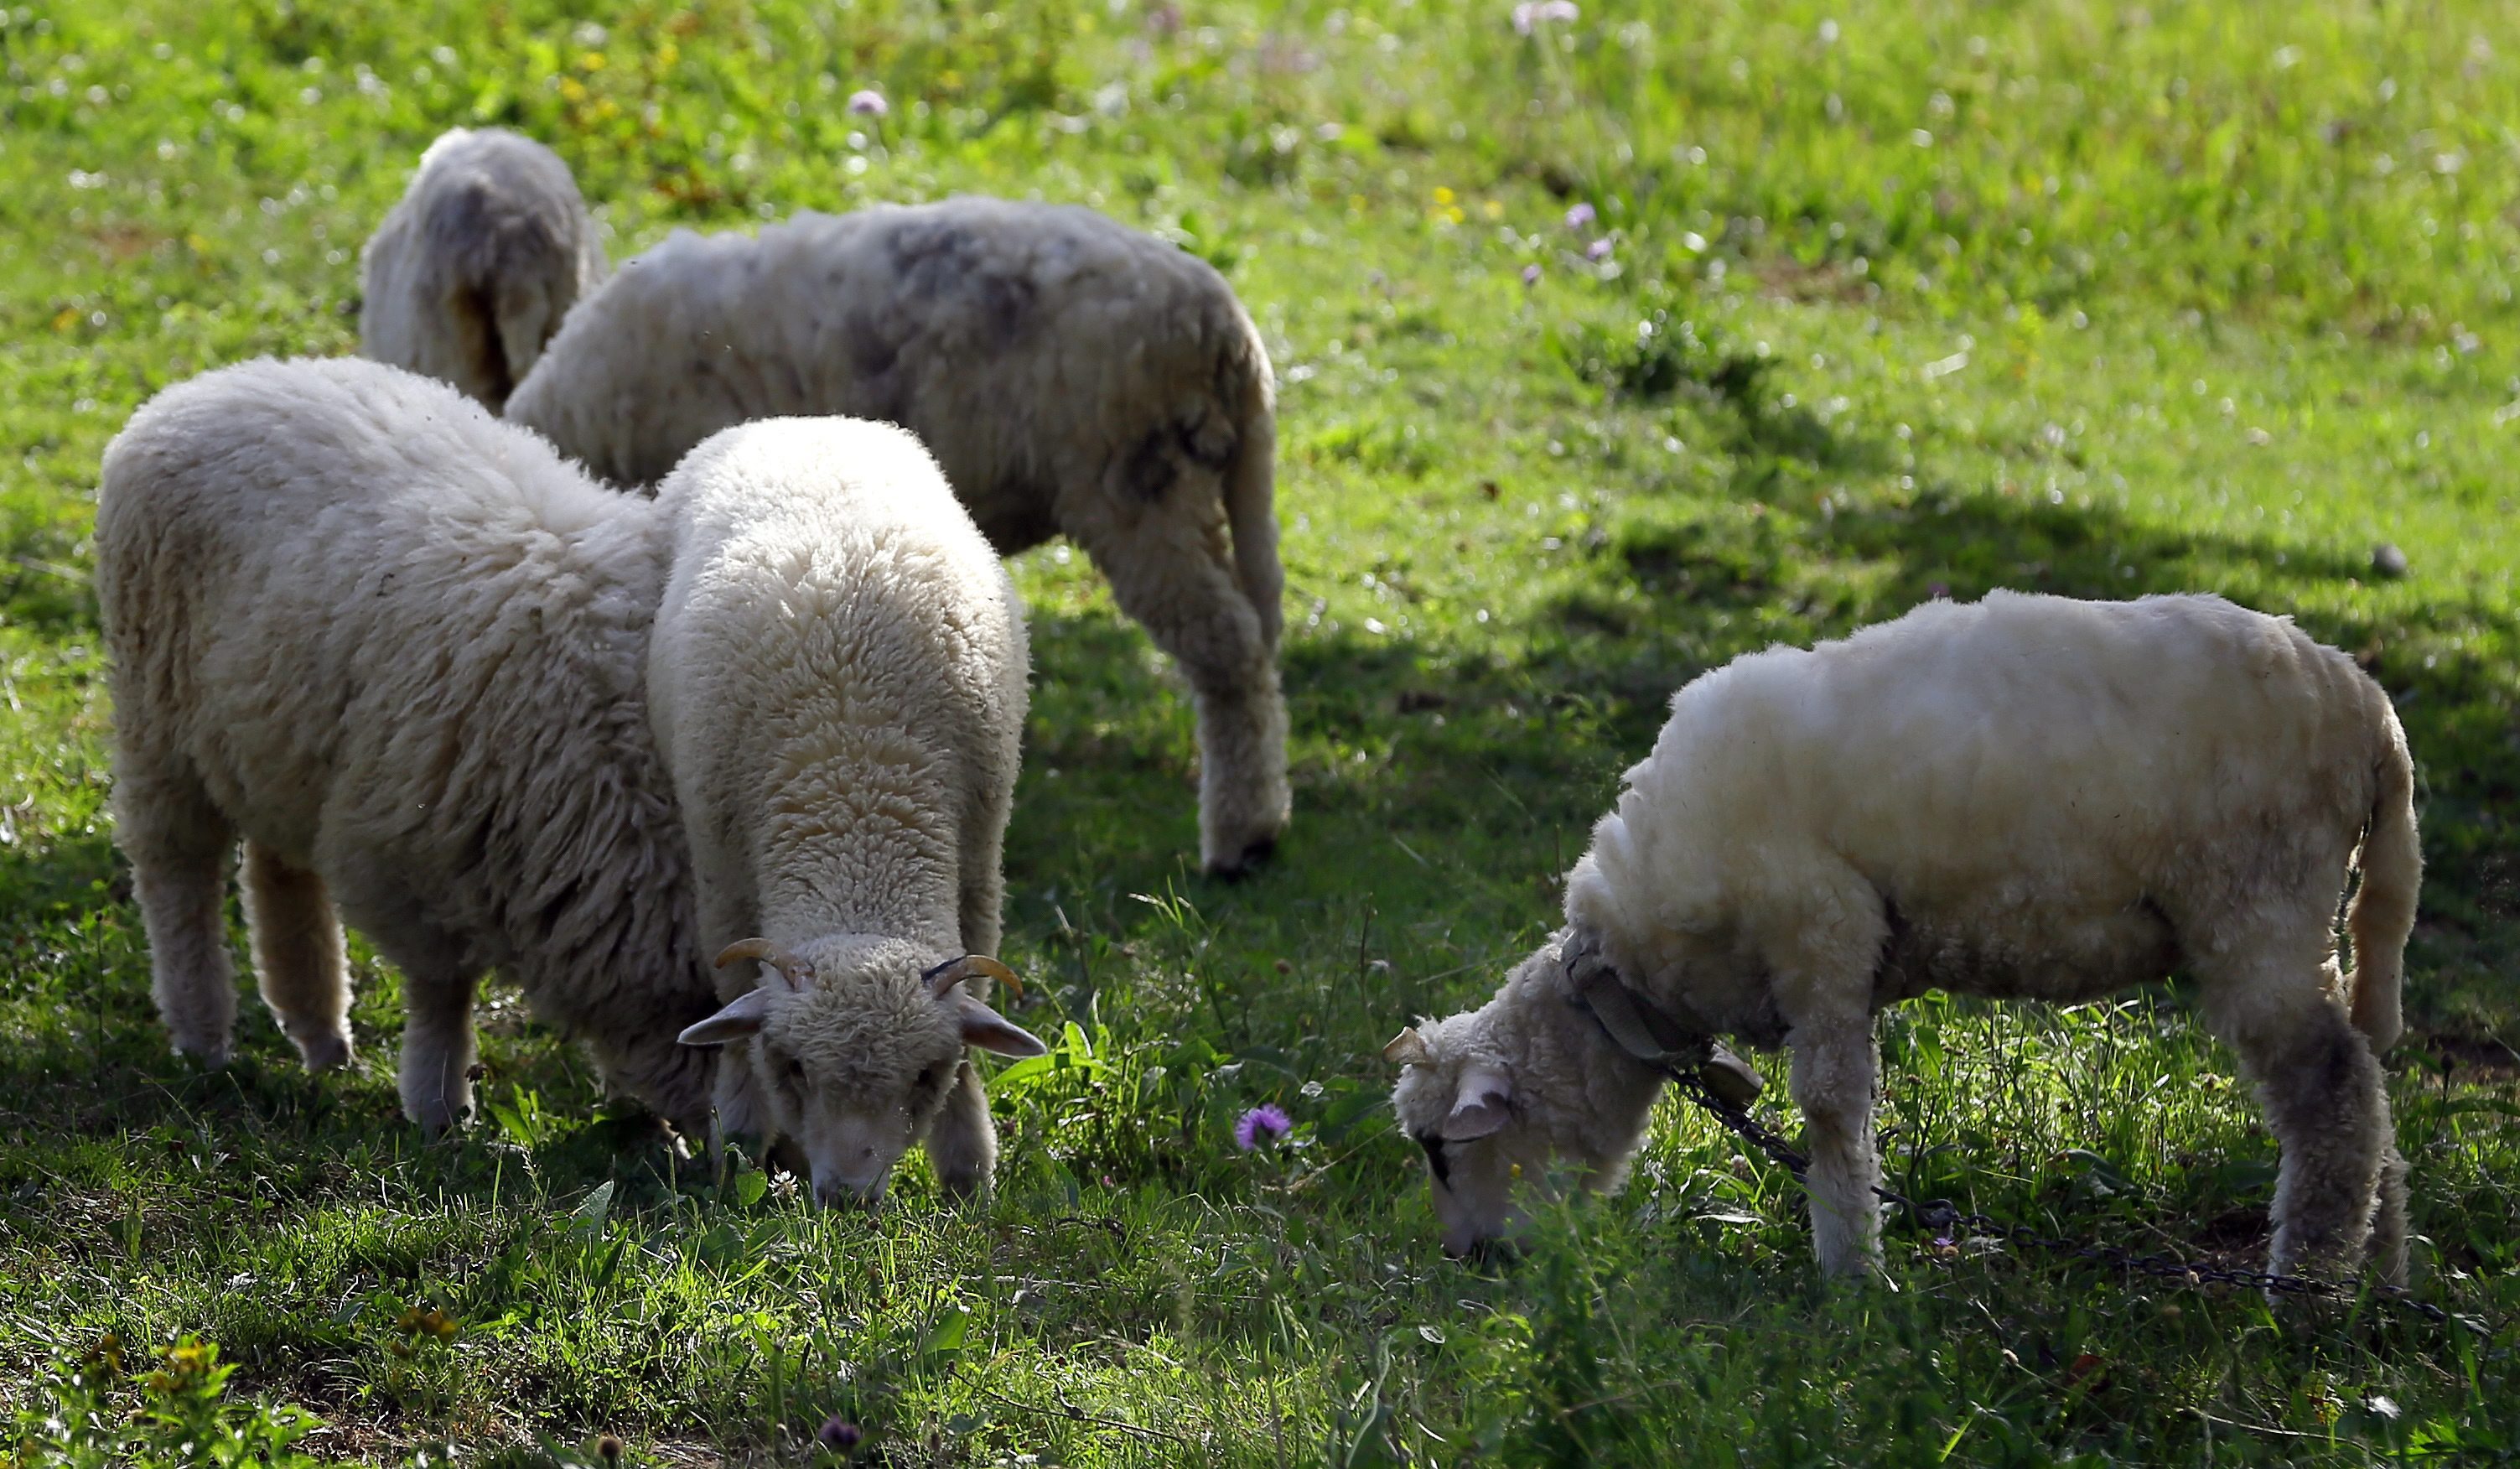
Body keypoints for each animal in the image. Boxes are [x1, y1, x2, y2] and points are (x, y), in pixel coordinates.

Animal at [96, 360, 1043, 1209]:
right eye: (785, 1067)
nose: (788, 1174)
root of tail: (213, 383)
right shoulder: (411, 856)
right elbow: (442, 995)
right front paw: (439, 1110)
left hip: (270, 742)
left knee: (279, 873)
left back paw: (321, 1035)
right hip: (157, 723)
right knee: (176, 872)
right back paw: (203, 1037)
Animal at [514, 200, 1300, 881]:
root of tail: (1227, 329)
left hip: (1140, 487)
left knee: (1228, 652)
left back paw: (1241, 837)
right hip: (1202, 485)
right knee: (1258, 636)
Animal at [1391, 589, 2409, 1290]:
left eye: (1440, 1149)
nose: (1469, 1261)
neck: (1644, 972)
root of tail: (2366, 706)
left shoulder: (1823, 931)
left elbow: (1831, 1110)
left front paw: (1850, 1272)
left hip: (2258, 898)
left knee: (2333, 1093)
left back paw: (2306, 1288)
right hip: (2311, 917)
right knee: (2373, 1085)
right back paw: (2379, 1273)